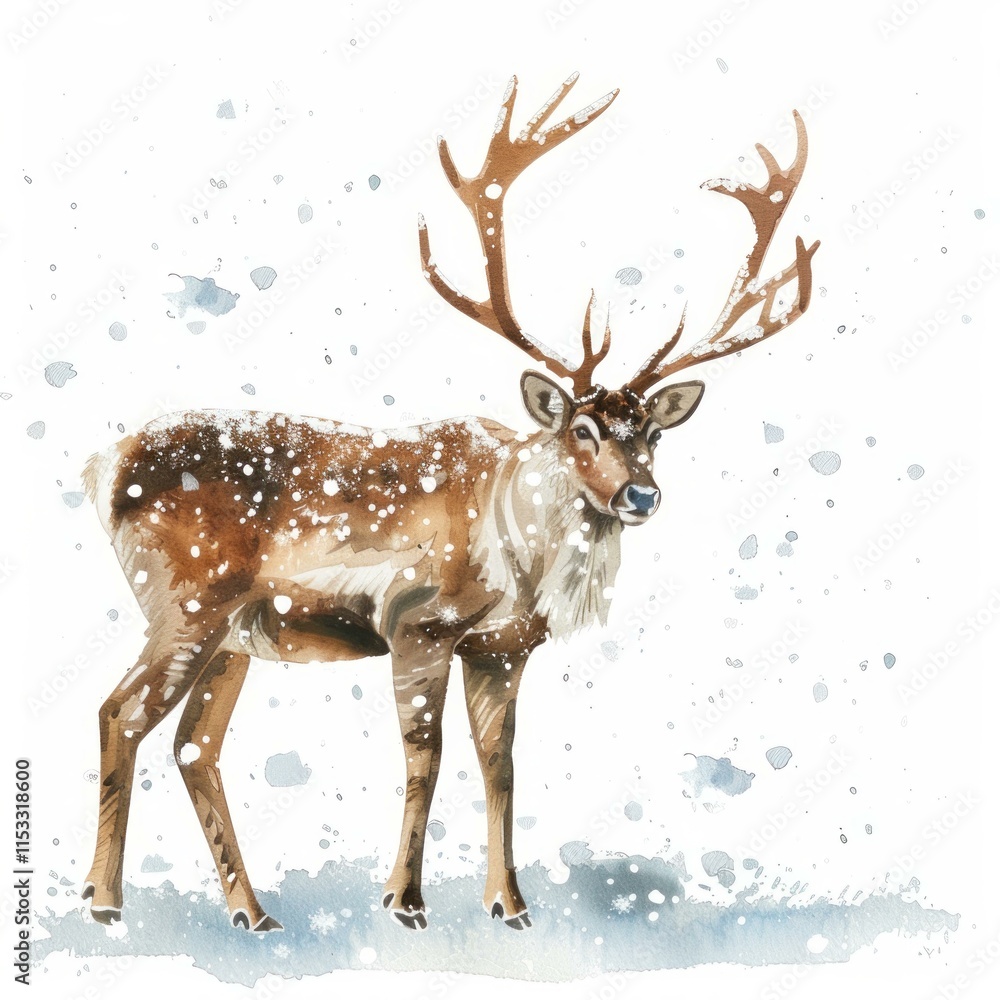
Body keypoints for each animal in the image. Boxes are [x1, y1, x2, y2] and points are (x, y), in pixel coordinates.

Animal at [79, 73, 818, 933]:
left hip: (236, 632)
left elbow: (500, 764)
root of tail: (102, 466)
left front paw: (510, 904)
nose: (641, 493)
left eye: (654, 434)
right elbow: (424, 761)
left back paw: (252, 912)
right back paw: (104, 902)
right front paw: (404, 900)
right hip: (186, 600)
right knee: (120, 712)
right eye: (583, 429)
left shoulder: (502, 648)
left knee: (195, 745)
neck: (514, 556)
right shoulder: (417, 623)